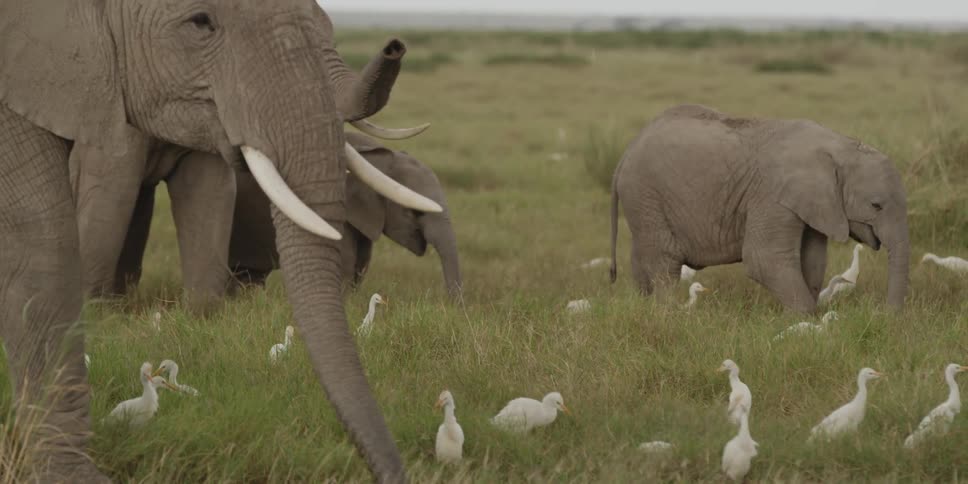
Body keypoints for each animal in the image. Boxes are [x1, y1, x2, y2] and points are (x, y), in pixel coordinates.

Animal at [609, 104, 909, 314]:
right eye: (876, 205)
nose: (885, 315)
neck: (839, 146)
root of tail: (626, 152)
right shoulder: (772, 196)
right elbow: (763, 259)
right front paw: (807, 320)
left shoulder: (814, 202)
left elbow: (812, 260)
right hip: (646, 194)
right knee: (664, 261)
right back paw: (668, 313)